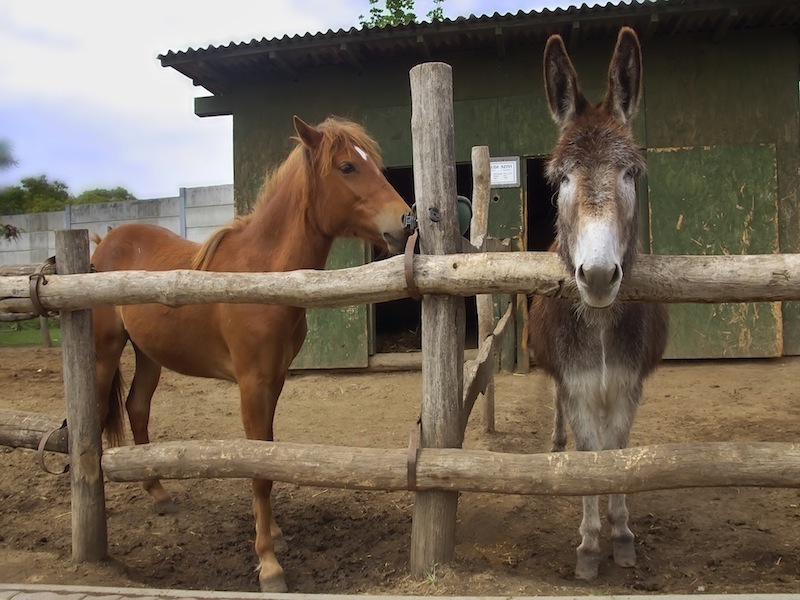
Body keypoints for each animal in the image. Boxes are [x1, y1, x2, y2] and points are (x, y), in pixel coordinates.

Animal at [90, 115, 410, 592]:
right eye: (347, 167)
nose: (407, 220)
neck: (262, 274)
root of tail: (103, 243)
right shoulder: (252, 383)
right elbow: (258, 469)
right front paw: (269, 564)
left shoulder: (274, 380)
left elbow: (269, 455)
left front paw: (275, 535)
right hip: (106, 351)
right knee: (93, 415)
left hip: (149, 355)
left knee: (137, 407)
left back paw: (158, 493)